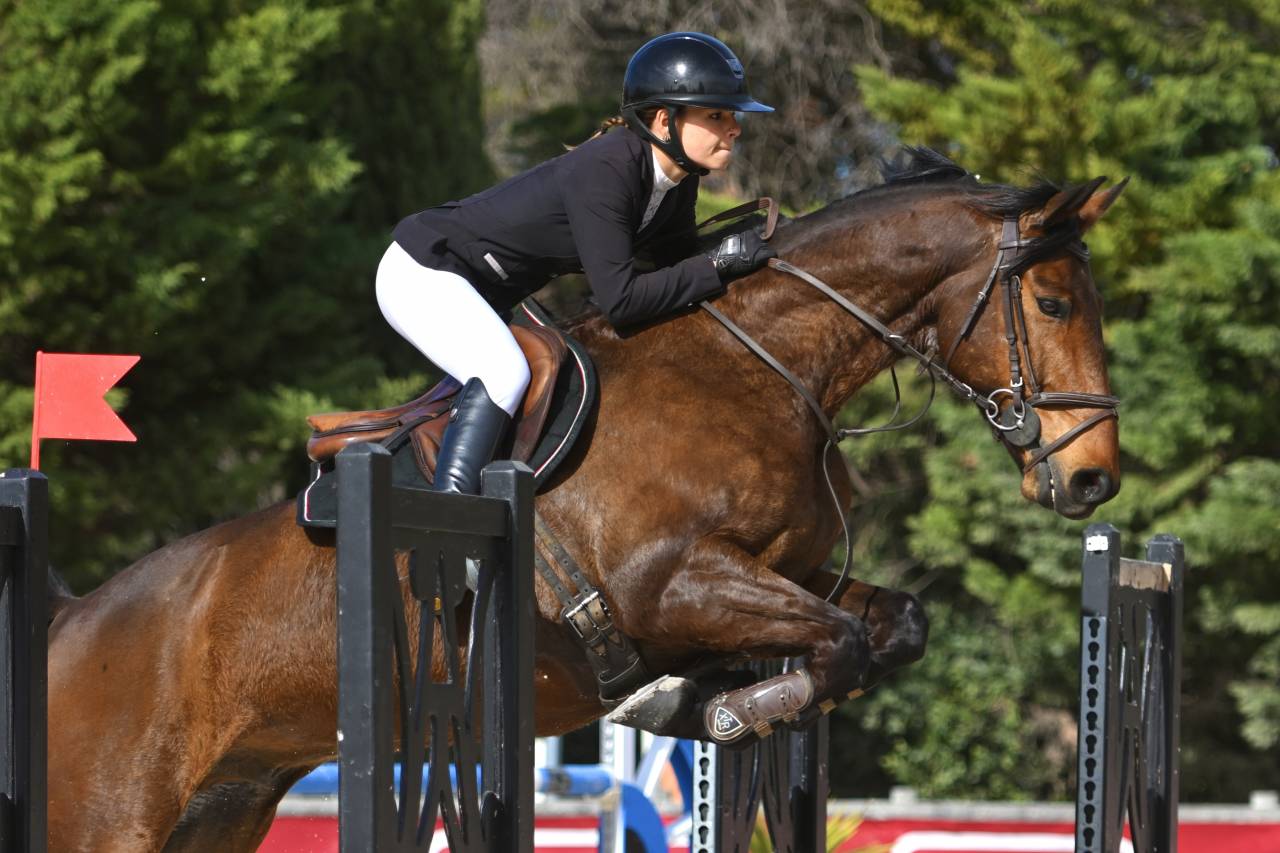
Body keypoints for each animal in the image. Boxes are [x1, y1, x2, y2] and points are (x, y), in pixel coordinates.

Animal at [44, 150, 1124, 851]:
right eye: (1053, 303)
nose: (1092, 478)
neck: (763, 369)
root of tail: (71, 619)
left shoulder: (786, 571)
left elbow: (888, 625)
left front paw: (704, 698)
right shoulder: (668, 581)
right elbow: (842, 642)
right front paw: (725, 708)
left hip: (222, 811)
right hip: (108, 816)